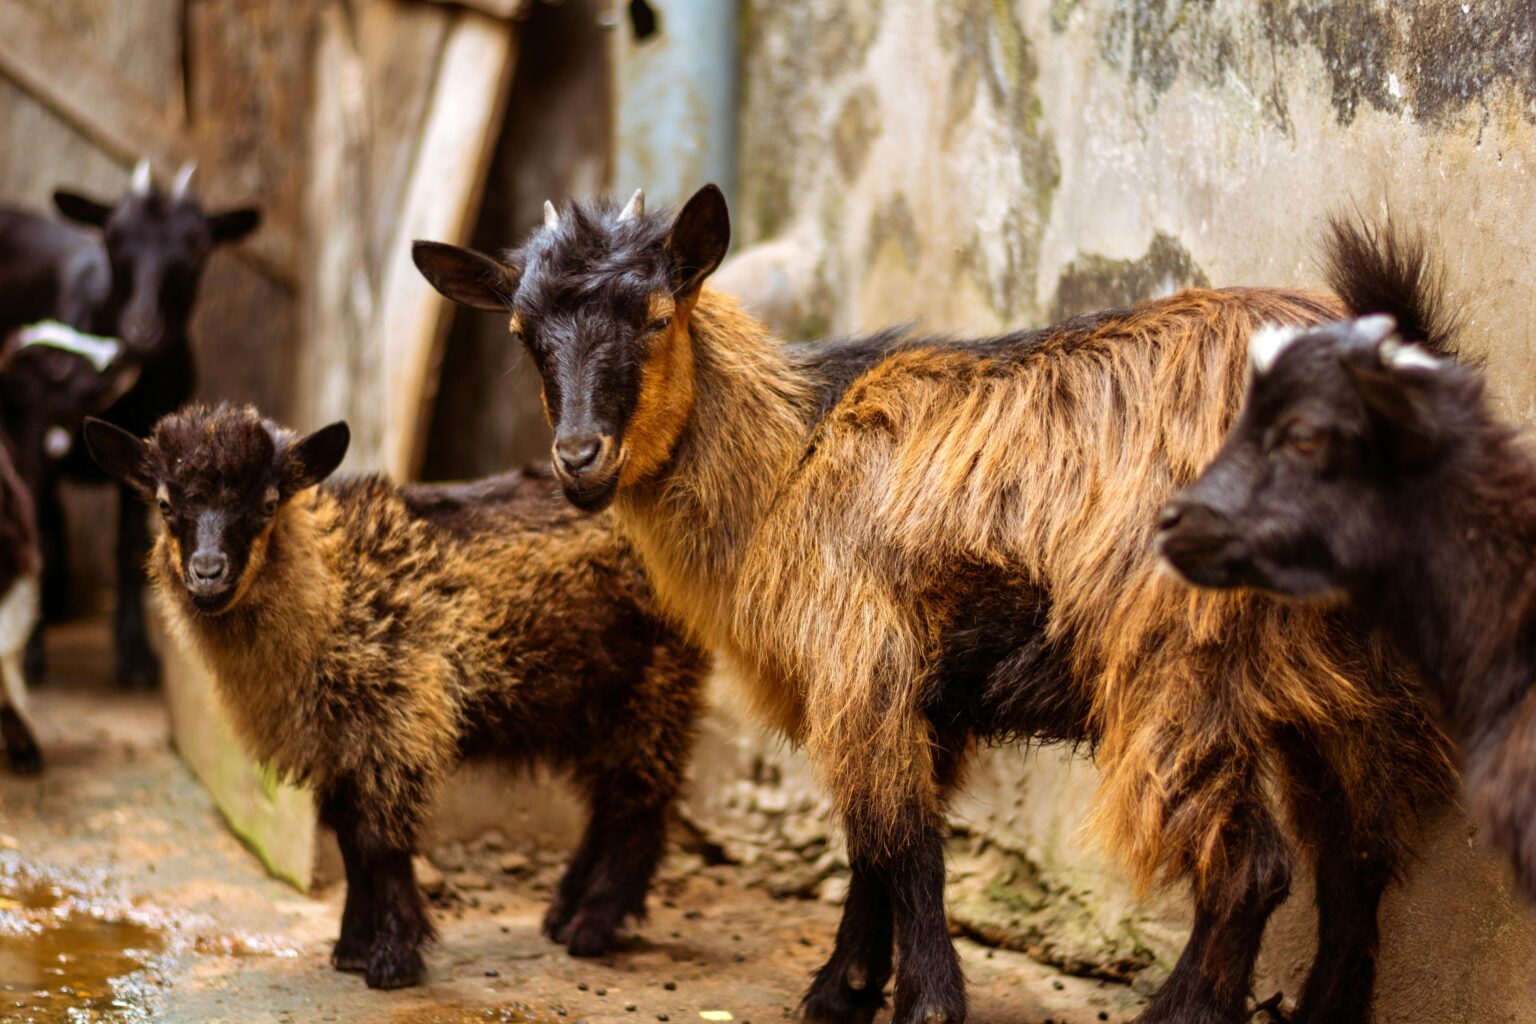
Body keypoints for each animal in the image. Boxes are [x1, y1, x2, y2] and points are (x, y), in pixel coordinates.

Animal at [0, 158, 261, 688]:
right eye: (114, 237)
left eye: (197, 247)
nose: (142, 330)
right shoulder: (34, 436)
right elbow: (39, 534)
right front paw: (32, 658)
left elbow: (127, 548)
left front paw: (136, 657)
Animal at [83, 404, 708, 990]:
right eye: (166, 505)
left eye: (267, 503)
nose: (208, 573)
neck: (335, 587)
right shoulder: (337, 746)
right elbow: (350, 846)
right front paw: (351, 950)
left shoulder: (398, 720)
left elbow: (378, 844)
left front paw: (393, 960)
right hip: (595, 701)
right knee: (610, 802)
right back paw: (564, 913)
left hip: (655, 684)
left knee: (638, 803)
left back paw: (591, 926)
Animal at [412, 188, 1454, 1024]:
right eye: (522, 335)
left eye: (657, 314)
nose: (579, 457)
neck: (789, 459)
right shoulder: (920, 694)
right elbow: (877, 846)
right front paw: (843, 990)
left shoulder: (860, 656)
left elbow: (901, 843)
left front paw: (919, 1003)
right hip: (1350, 677)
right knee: (1360, 853)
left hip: (1179, 666)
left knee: (1251, 867)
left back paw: (1179, 1014)